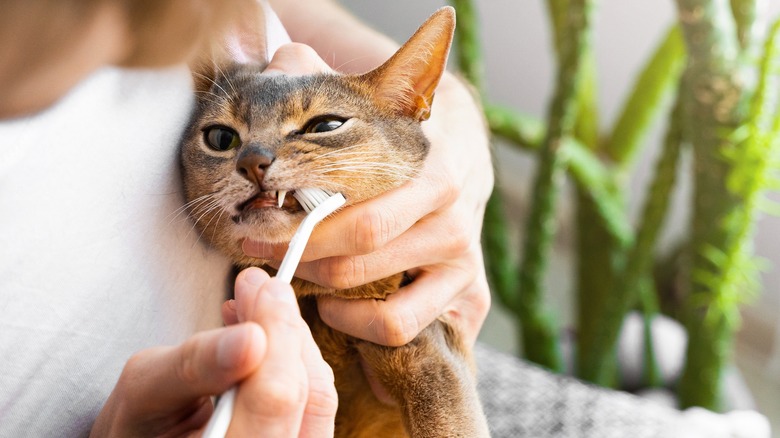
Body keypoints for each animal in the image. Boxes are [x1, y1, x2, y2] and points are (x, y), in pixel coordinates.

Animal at [180, 7, 490, 438]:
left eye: (325, 126)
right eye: (221, 138)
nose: (252, 160)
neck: (312, 299)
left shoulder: (429, 349)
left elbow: (447, 421)